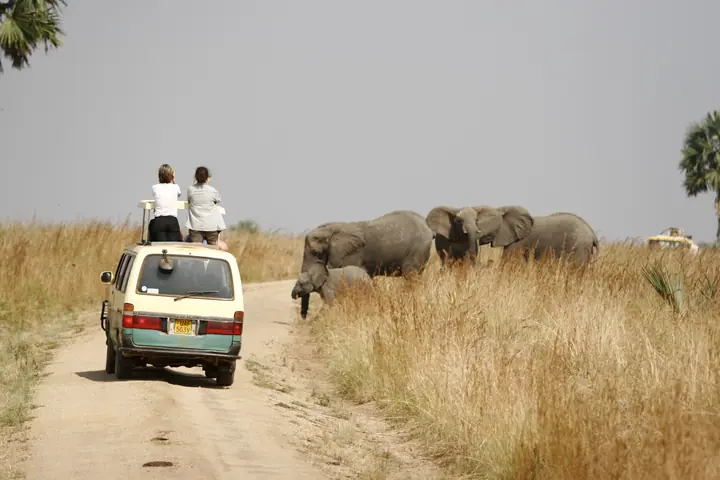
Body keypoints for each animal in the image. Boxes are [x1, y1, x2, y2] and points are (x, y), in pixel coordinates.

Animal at [297, 210, 434, 318]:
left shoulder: (352, 254)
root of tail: (428, 228)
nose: (304, 318)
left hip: (416, 250)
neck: (330, 230)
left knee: (411, 277)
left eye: (316, 253)